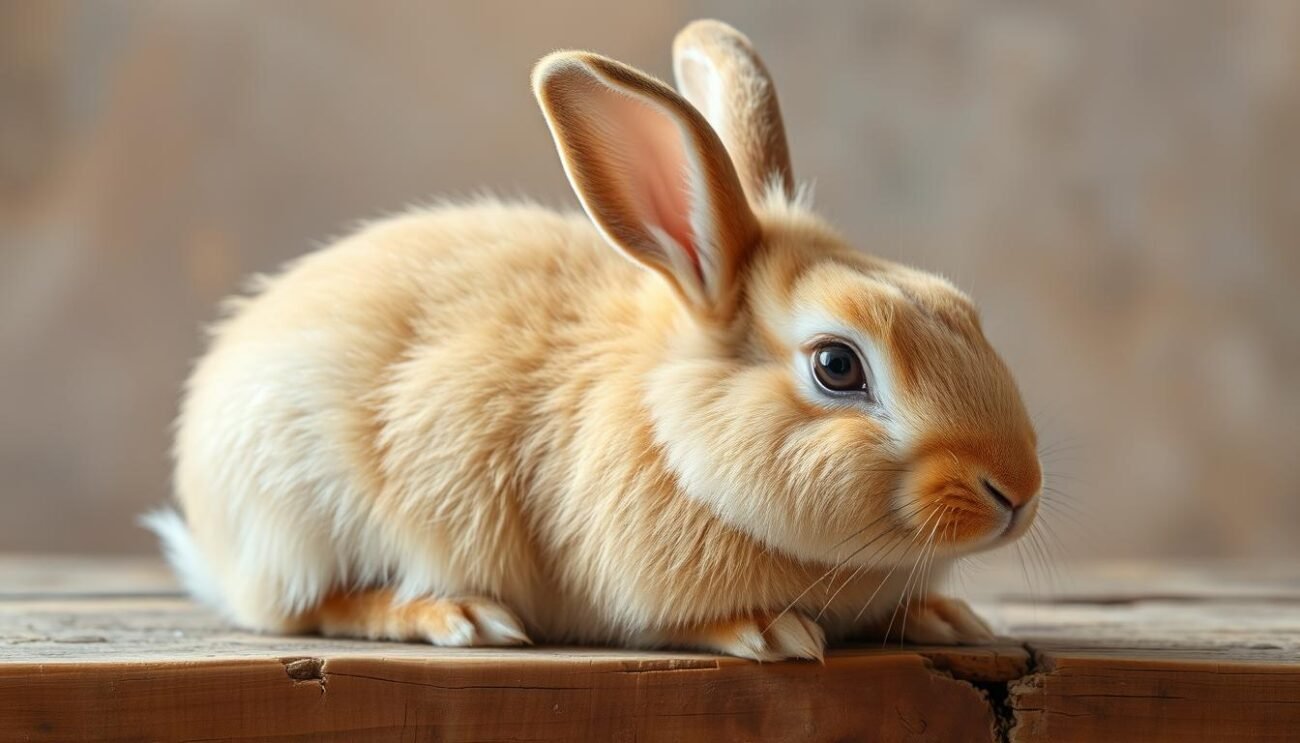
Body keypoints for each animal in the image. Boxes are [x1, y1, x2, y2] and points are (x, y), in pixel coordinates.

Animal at [145, 19, 1042, 661]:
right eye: (836, 364)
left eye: (959, 306)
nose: (1017, 491)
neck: (669, 426)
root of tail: (213, 539)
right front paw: (770, 631)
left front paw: (947, 616)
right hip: (306, 513)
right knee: (313, 606)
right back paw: (455, 612)